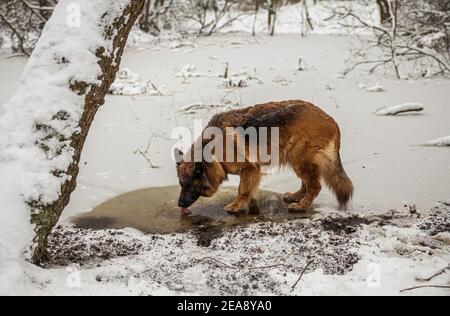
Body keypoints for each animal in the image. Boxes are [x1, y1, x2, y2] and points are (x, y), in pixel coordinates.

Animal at [174, 101, 354, 215]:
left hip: (299, 159)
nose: (179, 204)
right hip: (297, 160)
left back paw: (301, 205)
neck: (213, 151)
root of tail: (331, 121)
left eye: (189, 186)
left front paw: (236, 206)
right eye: (181, 185)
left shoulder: (250, 169)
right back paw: (296, 196)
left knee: (315, 186)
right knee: (306, 183)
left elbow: (242, 190)